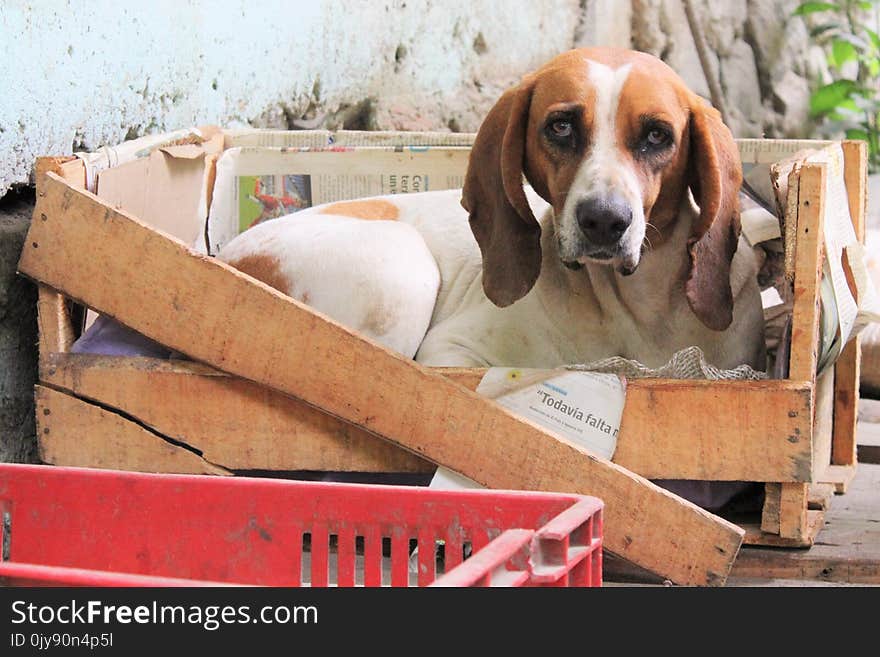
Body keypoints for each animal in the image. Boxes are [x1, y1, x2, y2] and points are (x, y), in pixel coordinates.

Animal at [217, 48, 768, 372]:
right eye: (561, 127)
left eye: (657, 136)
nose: (605, 220)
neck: (634, 308)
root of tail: (225, 261)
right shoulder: (450, 354)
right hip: (404, 273)